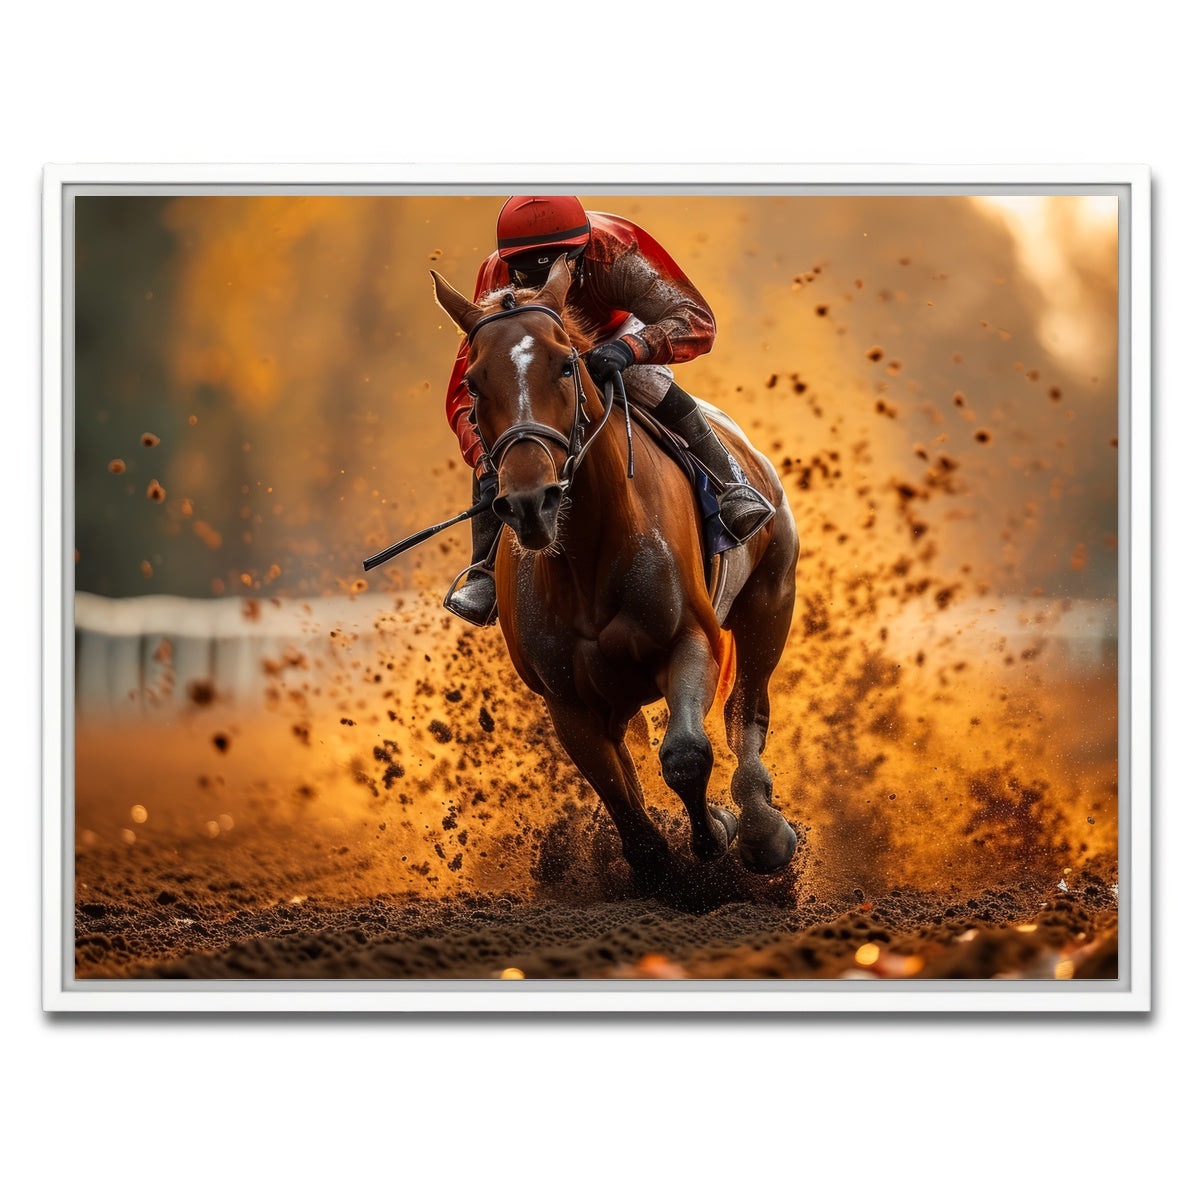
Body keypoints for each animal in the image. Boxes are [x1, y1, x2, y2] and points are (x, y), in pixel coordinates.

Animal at [432, 256, 799, 883]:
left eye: (566, 364)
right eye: (475, 382)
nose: (530, 502)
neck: (585, 560)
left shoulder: (691, 639)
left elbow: (686, 754)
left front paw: (717, 831)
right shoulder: (567, 700)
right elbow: (626, 805)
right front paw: (668, 867)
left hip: (769, 600)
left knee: (745, 709)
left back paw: (761, 828)